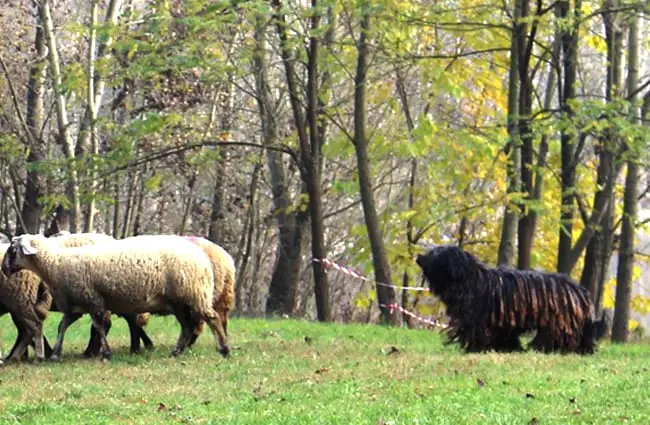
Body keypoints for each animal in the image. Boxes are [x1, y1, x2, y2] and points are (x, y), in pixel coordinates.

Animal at [1, 234, 229, 360]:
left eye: (13, 250)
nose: (3, 269)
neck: (56, 263)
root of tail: (202, 257)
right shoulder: (77, 304)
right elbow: (62, 327)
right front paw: (55, 353)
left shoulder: (93, 300)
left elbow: (99, 327)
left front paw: (106, 353)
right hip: (178, 301)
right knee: (187, 326)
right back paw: (176, 351)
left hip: (194, 294)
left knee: (212, 318)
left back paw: (224, 349)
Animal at [416, 243, 596, 352]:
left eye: (434, 254)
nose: (418, 257)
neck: (471, 279)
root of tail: (580, 291)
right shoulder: (503, 322)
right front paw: (509, 348)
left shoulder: (478, 319)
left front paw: (475, 348)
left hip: (558, 322)